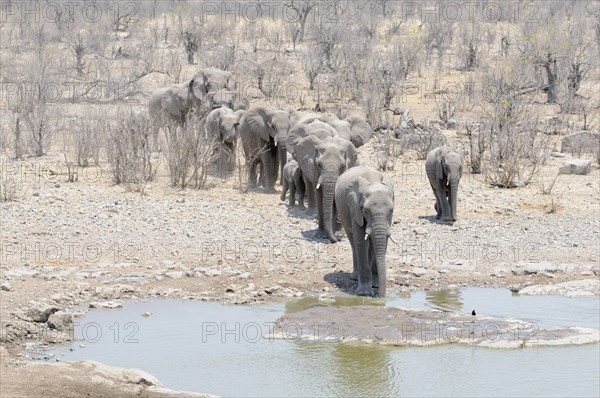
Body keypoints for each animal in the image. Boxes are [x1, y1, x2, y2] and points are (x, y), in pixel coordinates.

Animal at [336, 164, 396, 296]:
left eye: (391, 210)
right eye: (365, 211)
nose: (381, 297)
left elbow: (378, 242)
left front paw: (376, 285)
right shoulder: (354, 208)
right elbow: (361, 241)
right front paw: (364, 293)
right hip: (343, 213)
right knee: (353, 241)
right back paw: (355, 277)